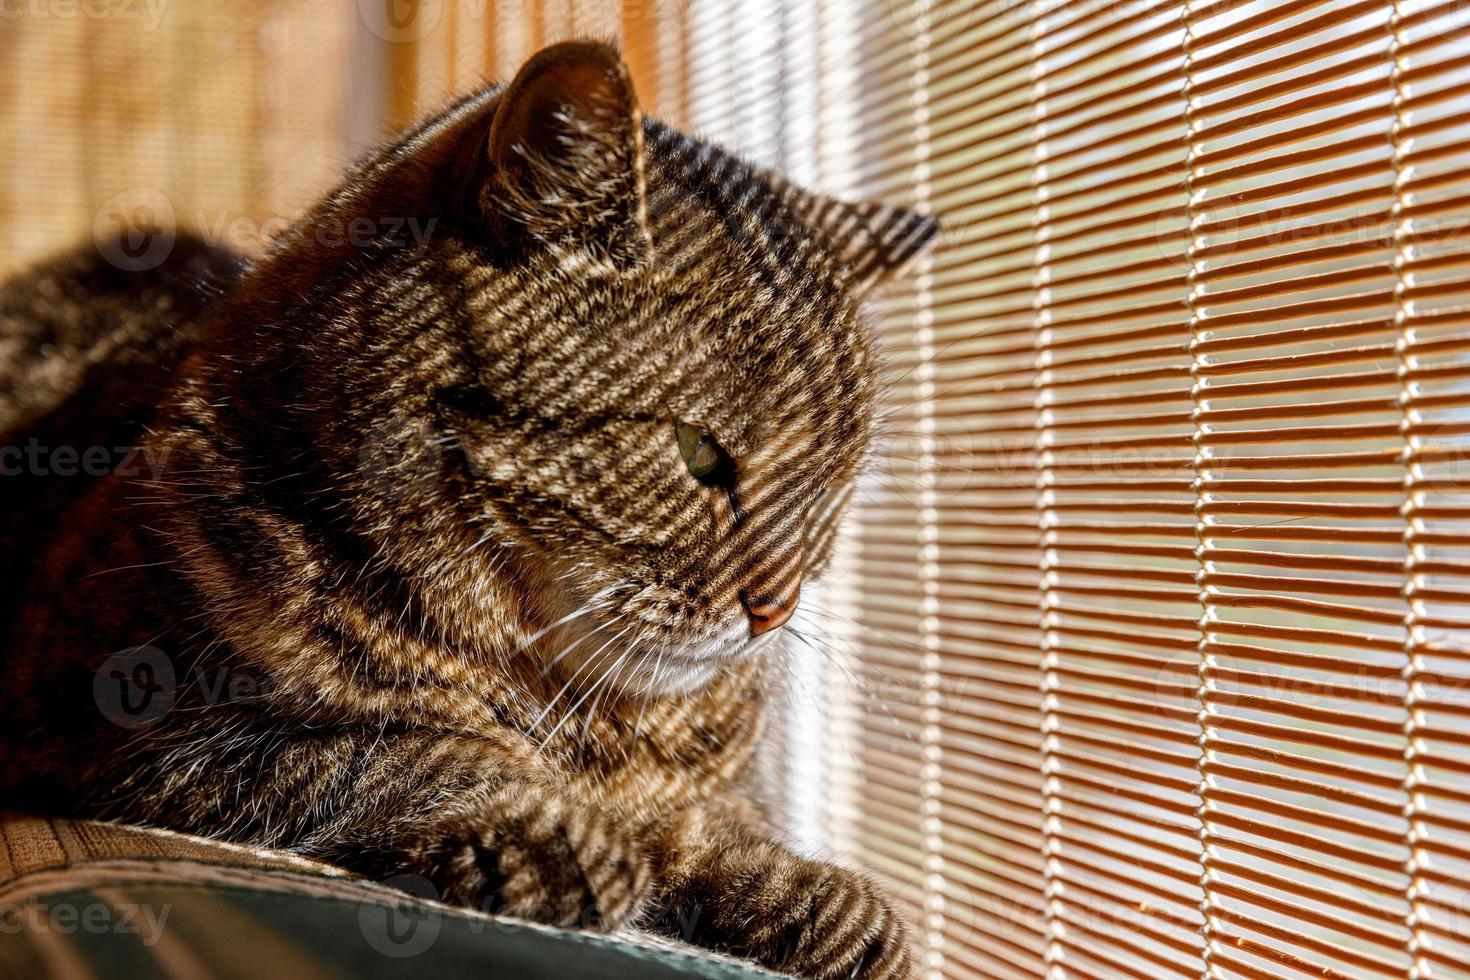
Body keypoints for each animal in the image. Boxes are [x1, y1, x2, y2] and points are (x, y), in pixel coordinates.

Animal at [0, 40, 934, 980]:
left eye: (828, 491)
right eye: (699, 453)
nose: (775, 610)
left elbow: (712, 818)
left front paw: (810, 890)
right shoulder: (131, 714)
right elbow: (405, 751)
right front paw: (552, 823)